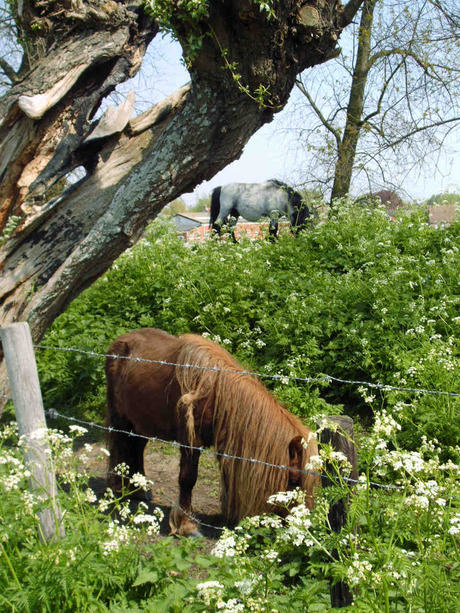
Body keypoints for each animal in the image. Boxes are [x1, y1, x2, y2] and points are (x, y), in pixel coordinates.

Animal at [105, 328, 318, 532]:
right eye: (295, 480)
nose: (306, 522)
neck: (213, 391)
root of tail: (120, 342)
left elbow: (228, 477)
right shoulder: (190, 442)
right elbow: (187, 479)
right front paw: (186, 524)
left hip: (141, 423)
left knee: (137, 448)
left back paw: (141, 491)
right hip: (121, 419)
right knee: (119, 446)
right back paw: (119, 489)